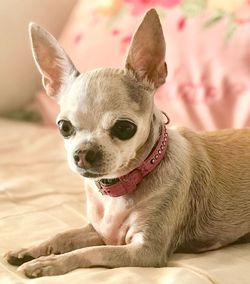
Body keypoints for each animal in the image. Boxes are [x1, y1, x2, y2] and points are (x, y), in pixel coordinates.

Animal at [4, 8, 250, 278]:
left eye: (124, 128)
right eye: (64, 127)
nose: (83, 153)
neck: (119, 187)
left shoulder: (144, 251)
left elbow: (88, 252)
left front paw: (49, 263)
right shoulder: (100, 231)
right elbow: (64, 235)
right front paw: (32, 249)